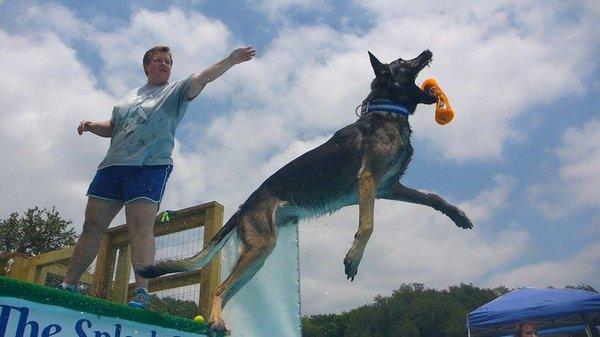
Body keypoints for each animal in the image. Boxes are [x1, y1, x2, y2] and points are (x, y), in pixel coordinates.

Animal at [139, 50, 474, 334]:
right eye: (404, 61)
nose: (429, 51)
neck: (386, 113)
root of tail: (243, 208)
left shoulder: (390, 187)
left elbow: (433, 198)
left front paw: (458, 216)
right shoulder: (368, 181)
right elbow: (367, 225)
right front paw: (353, 258)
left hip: (257, 256)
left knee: (226, 292)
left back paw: (216, 322)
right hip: (260, 248)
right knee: (220, 290)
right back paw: (217, 320)